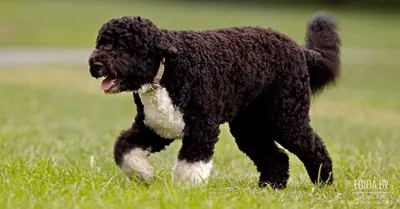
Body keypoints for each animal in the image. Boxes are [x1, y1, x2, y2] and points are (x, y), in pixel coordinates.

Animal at [88, 10, 340, 189]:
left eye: (122, 47)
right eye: (101, 43)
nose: (95, 64)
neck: (167, 70)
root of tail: (301, 50)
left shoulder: (202, 128)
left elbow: (190, 166)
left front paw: (185, 193)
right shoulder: (154, 127)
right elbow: (125, 149)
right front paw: (143, 174)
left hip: (285, 118)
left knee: (314, 147)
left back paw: (324, 183)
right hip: (249, 127)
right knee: (276, 157)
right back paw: (269, 188)